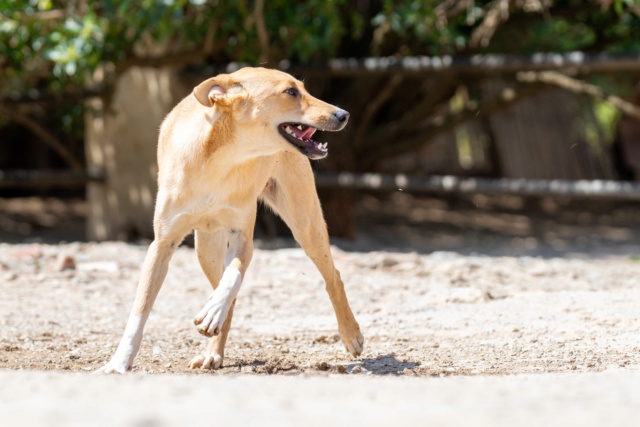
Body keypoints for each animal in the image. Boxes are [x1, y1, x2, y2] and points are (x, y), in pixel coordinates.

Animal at [97, 67, 362, 374]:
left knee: (333, 277)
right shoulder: (162, 245)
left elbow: (233, 277)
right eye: (291, 92)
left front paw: (212, 311)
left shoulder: (243, 237)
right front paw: (119, 363)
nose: (343, 114)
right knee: (225, 292)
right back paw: (213, 351)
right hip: (205, 249)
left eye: (303, 88)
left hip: (306, 226)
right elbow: (139, 312)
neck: (221, 160)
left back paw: (351, 334)